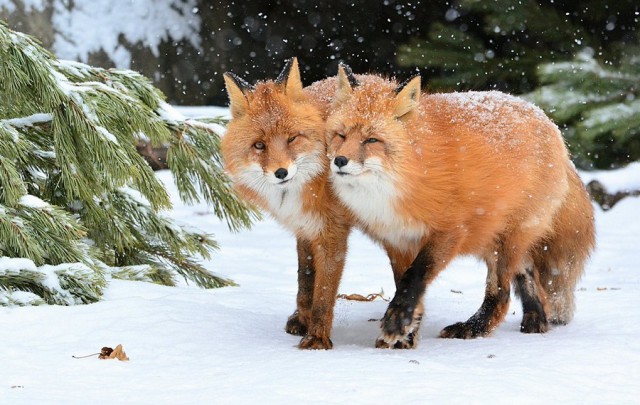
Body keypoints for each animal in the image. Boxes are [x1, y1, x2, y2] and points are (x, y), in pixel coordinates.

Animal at [221, 58, 356, 348]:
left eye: (292, 138)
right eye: (259, 145)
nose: (281, 173)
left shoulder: (332, 233)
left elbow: (324, 292)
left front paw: (317, 338)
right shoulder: (304, 228)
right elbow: (305, 280)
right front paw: (302, 319)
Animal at [328, 64, 596, 348]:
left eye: (372, 140)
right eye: (341, 135)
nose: (340, 160)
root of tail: (549, 122)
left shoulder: (450, 232)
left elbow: (414, 278)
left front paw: (396, 323)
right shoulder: (397, 240)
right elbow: (405, 285)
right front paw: (408, 333)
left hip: (505, 242)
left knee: (502, 294)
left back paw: (472, 328)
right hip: (502, 241)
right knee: (529, 277)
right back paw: (536, 321)